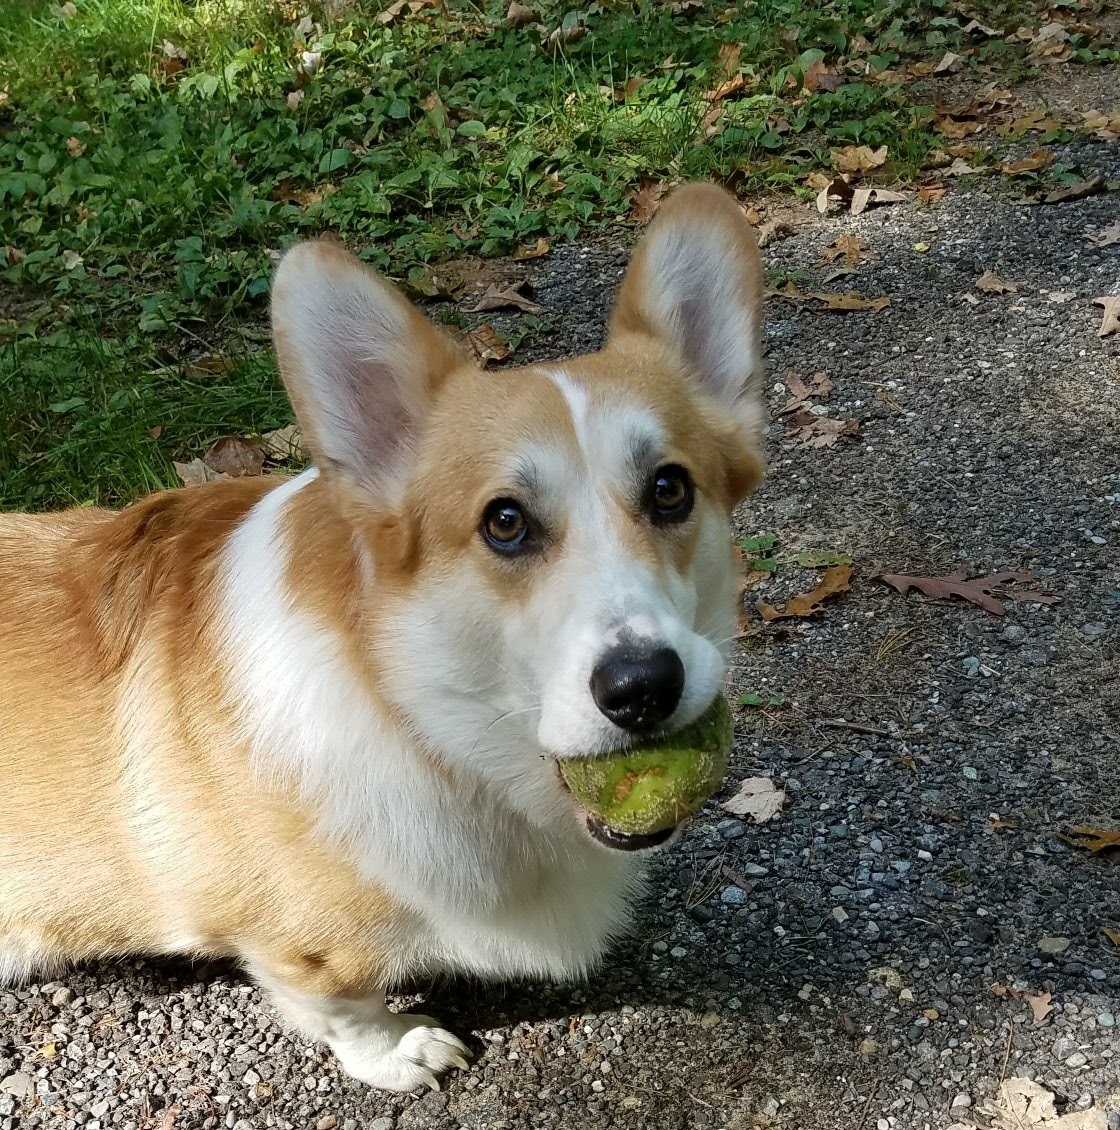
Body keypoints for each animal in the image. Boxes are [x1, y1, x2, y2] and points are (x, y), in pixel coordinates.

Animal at [0, 183, 763, 1084]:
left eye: (670, 489)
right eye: (505, 522)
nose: (644, 687)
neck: (430, 728)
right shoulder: (306, 949)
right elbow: (341, 1004)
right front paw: (401, 1051)